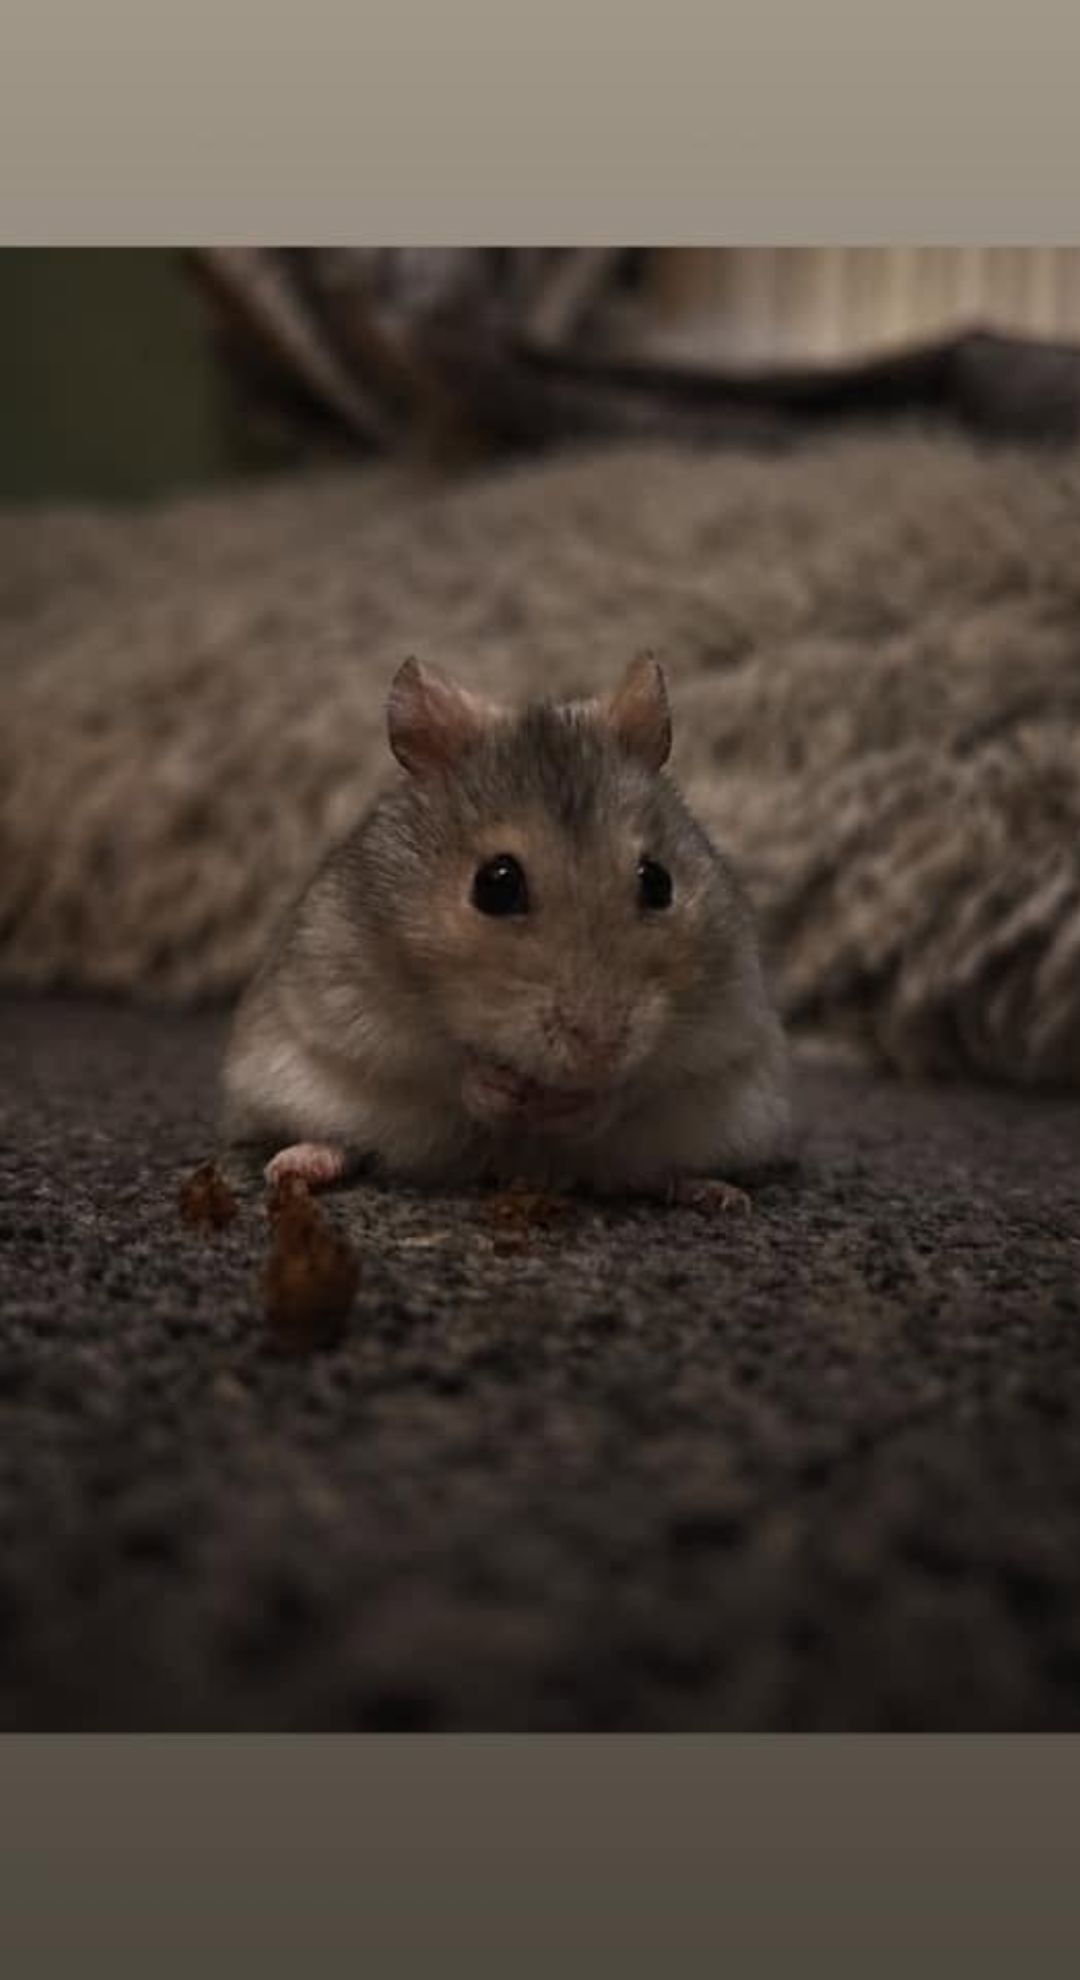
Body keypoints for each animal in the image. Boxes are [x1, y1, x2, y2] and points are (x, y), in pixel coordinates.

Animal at [221, 654, 791, 1205]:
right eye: (496, 885)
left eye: (658, 881)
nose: (598, 1053)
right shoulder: (355, 997)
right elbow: (441, 1066)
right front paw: (497, 1088)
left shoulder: (722, 1022)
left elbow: (639, 1084)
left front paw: (579, 1103)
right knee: (347, 1143)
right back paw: (293, 1166)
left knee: (646, 1174)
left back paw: (715, 1194)